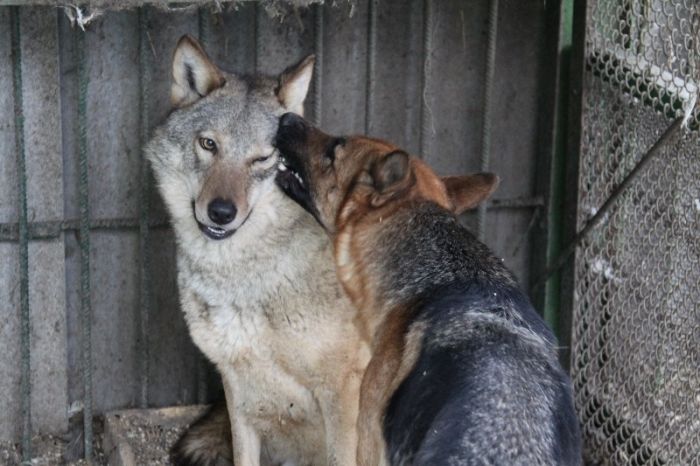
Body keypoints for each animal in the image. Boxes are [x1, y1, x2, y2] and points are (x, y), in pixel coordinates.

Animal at [146, 36, 370, 466]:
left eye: (263, 157)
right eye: (209, 144)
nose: (221, 212)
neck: (241, 280)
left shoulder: (342, 390)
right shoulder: (237, 384)